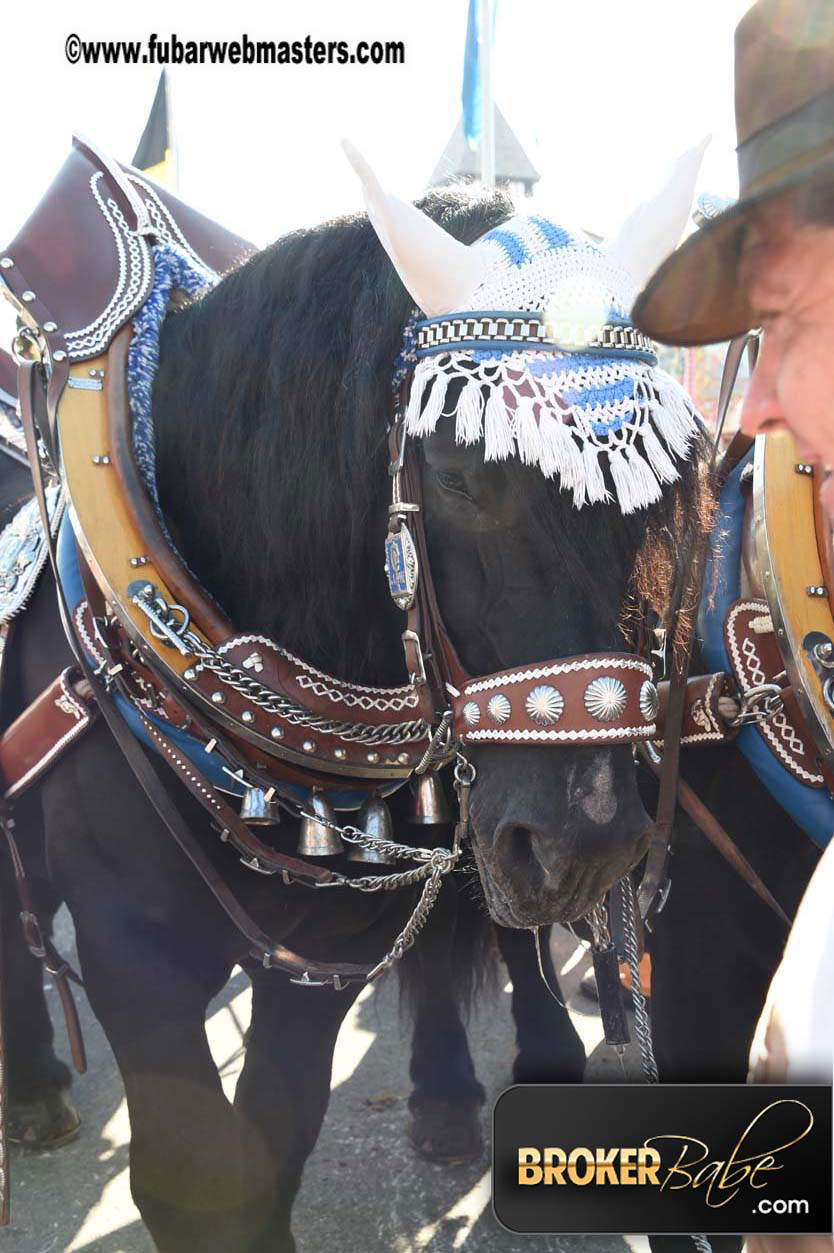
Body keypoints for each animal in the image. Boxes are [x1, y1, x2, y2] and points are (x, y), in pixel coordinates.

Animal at [0, 187, 706, 1253]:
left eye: (656, 496)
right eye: (455, 475)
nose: (586, 846)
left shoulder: (321, 951)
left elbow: (275, 1145)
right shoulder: (131, 945)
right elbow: (192, 1179)